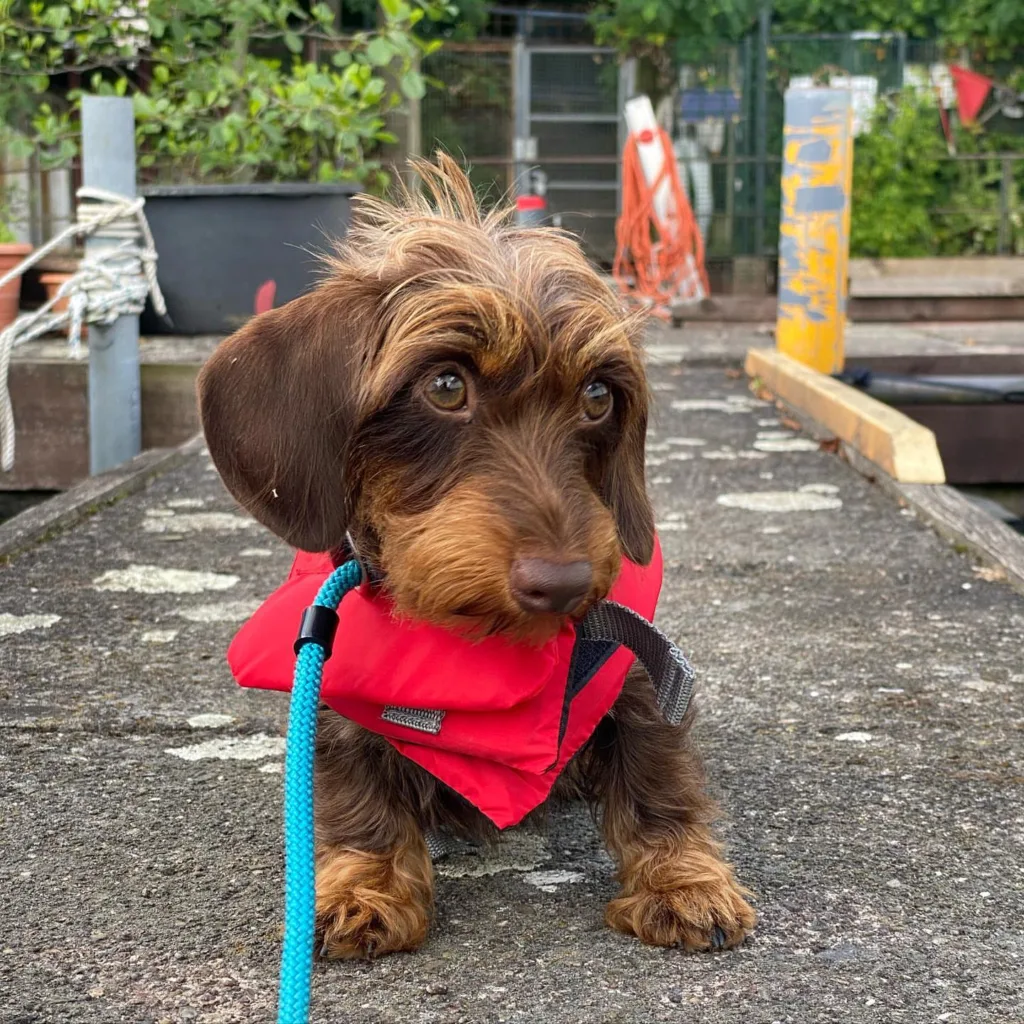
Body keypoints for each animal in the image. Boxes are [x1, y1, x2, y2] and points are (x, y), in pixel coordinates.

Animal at [199, 151, 757, 958]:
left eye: (598, 397)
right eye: (445, 384)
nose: (564, 584)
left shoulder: (636, 678)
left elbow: (659, 781)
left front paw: (683, 883)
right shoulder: (333, 707)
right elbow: (358, 799)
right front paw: (363, 888)